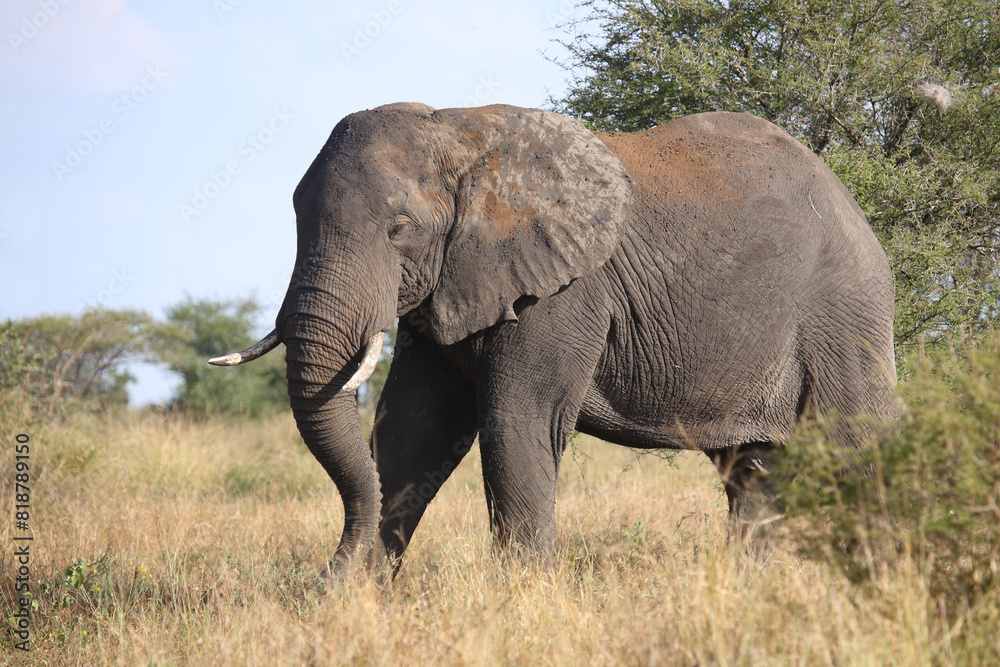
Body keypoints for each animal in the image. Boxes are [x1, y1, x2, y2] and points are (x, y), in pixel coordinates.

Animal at [211, 102, 900, 576]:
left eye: (399, 228)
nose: (320, 576)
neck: (460, 134)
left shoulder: (563, 289)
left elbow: (517, 422)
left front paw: (521, 603)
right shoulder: (454, 284)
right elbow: (413, 426)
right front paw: (361, 597)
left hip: (844, 314)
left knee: (858, 445)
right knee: (754, 472)